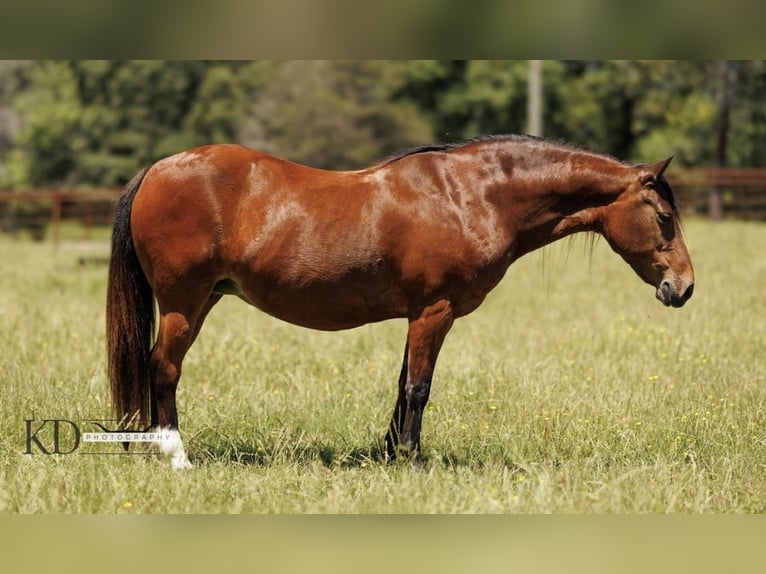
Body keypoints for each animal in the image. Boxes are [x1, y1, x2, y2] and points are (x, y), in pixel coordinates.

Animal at [106, 135, 694, 469]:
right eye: (665, 217)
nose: (684, 287)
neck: (470, 195)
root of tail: (156, 169)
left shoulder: (417, 315)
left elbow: (401, 383)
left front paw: (389, 454)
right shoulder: (435, 311)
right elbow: (418, 387)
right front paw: (411, 460)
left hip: (201, 300)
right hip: (184, 304)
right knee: (163, 369)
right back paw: (174, 455)